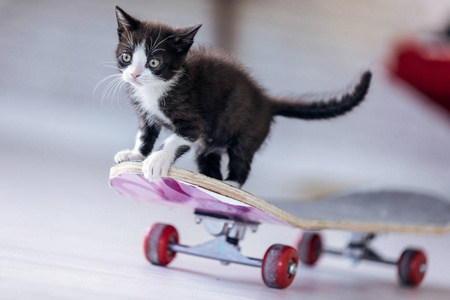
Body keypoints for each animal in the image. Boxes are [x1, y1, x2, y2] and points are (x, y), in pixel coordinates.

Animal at [113, 5, 372, 186]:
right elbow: (145, 134)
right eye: (126, 57)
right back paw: (211, 182)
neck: (156, 88)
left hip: (248, 133)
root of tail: (267, 101)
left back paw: (231, 184)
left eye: (154, 62)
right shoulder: (146, 113)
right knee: (207, 157)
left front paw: (156, 161)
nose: (134, 75)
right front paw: (135, 154)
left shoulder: (194, 120)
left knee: (241, 159)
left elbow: (175, 139)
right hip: (211, 143)